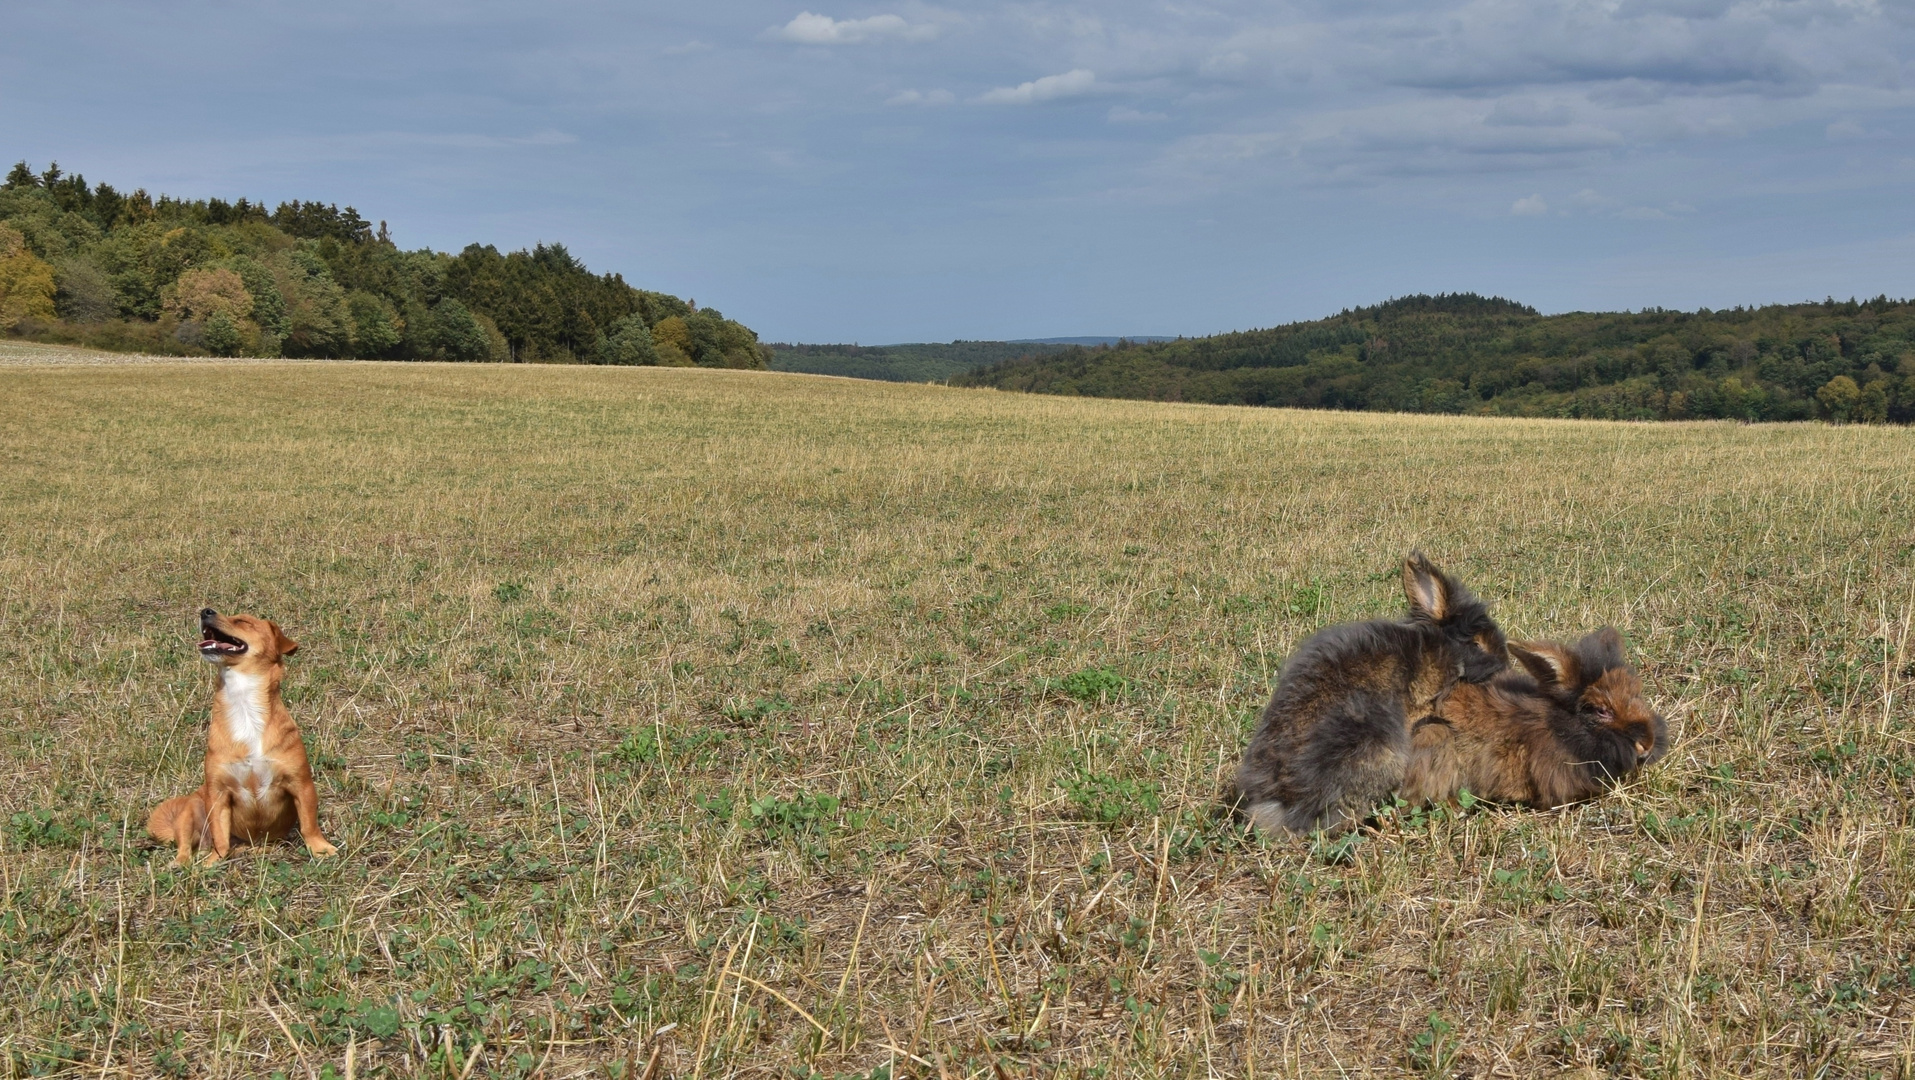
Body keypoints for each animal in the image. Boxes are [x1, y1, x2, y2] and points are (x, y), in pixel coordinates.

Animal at [145, 612, 337, 865]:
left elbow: (309, 824)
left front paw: (320, 848)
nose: (205, 611)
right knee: (187, 844)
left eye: (244, 622)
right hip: (190, 808)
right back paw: (182, 863)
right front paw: (213, 861)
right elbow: (219, 834)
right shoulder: (218, 794)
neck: (244, 706)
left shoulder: (301, 784)